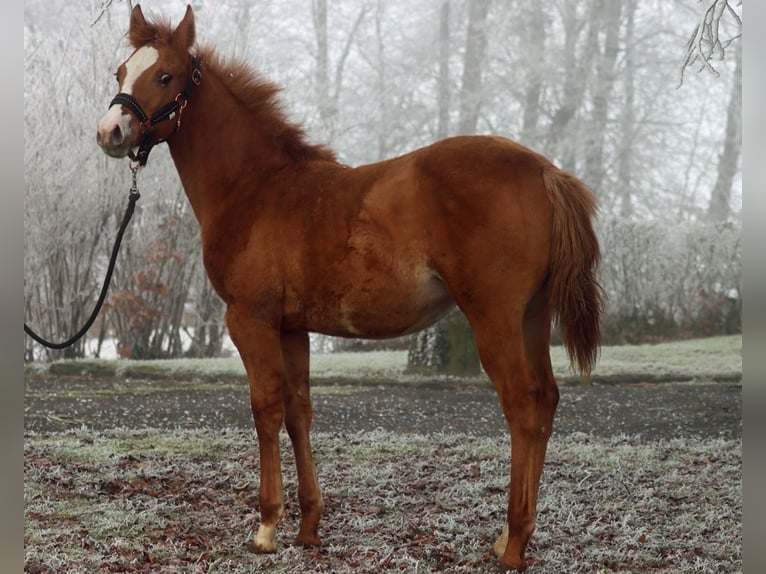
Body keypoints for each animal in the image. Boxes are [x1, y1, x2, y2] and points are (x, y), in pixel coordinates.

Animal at [96, 4, 604, 572]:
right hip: (533, 316)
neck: (257, 187)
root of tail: (544, 170)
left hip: (494, 318)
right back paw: (512, 536)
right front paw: (308, 527)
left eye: (165, 76)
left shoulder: (249, 319)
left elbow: (266, 409)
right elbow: (299, 411)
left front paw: (266, 527)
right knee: (546, 397)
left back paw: (512, 543)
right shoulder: (292, 328)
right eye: (120, 72)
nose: (111, 131)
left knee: (522, 403)